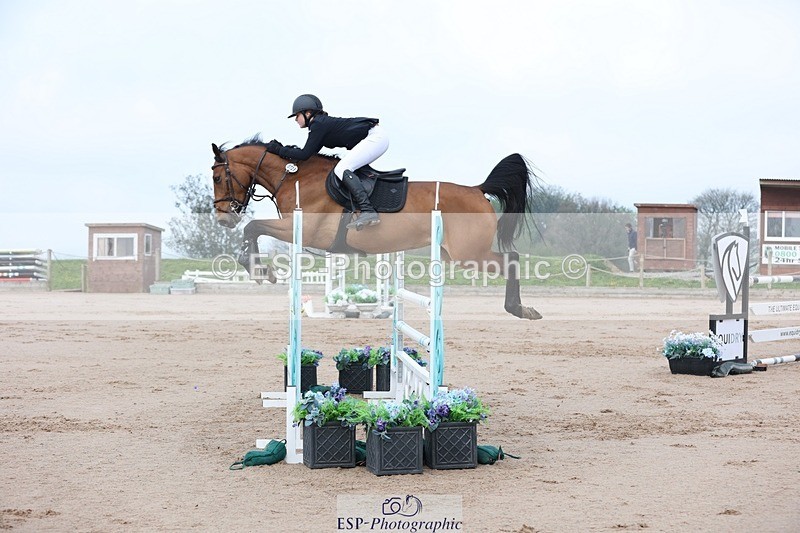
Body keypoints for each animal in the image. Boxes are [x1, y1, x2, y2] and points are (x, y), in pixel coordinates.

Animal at [210, 138, 542, 320]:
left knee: (512, 259)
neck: (296, 177)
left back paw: (520, 309)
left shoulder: (303, 228)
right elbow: (253, 229)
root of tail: (478, 190)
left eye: (216, 177)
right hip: (454, 254)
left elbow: (253, 227)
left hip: (468, 253)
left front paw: (258, 270)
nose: (224, 218)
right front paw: (260, 269)